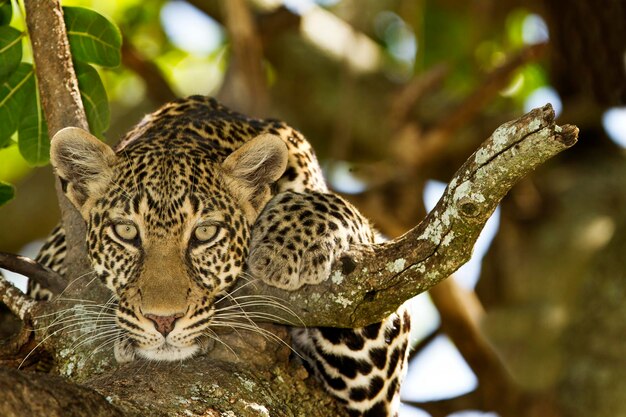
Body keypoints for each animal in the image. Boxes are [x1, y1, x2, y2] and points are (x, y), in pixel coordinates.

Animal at [33, 96, 410, 414]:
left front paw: (285, 247)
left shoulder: (372, 390)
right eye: (126, 232)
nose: (163, 321)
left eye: (205, 233)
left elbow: (336, 209)